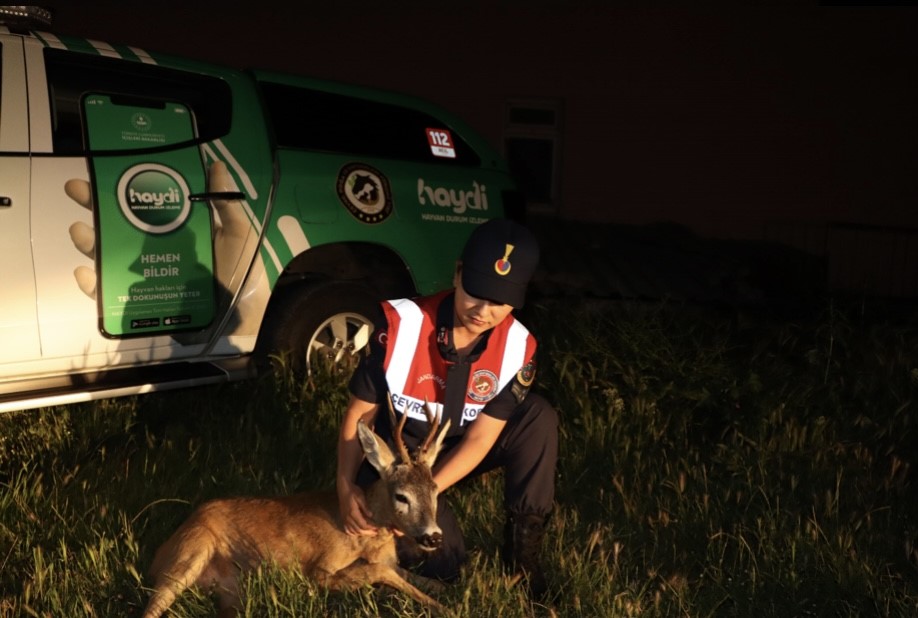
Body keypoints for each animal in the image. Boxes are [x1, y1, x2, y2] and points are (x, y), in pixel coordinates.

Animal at [143, 400, 452, 616]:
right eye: (402, 496)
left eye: (435, 490)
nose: (434, 536)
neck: (367, 538)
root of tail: (158, 554)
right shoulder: (318, 571)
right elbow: (378, 572)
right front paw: (444, 608)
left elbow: (426, 579)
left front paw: (448, 594)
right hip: (191, 552)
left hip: (232, 593)